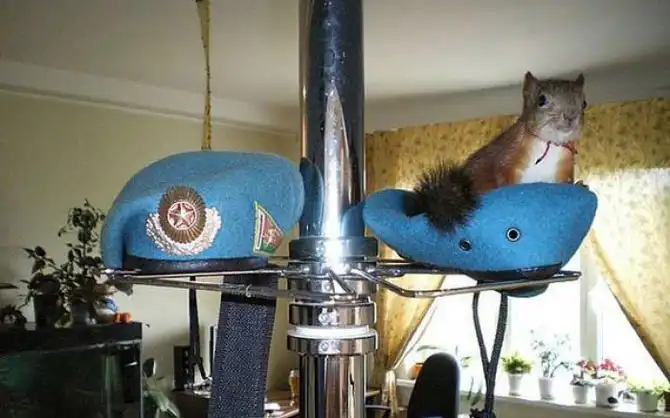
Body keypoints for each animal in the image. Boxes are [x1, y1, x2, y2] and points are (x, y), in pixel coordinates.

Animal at [411, 71, 587, 234]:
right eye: (541, 100)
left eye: (584, 103)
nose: (571, 116)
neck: (549, 143)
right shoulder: (510, 152)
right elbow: (501, 171)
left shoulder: (563, 169)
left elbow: (565, 183)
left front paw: (580, 185)